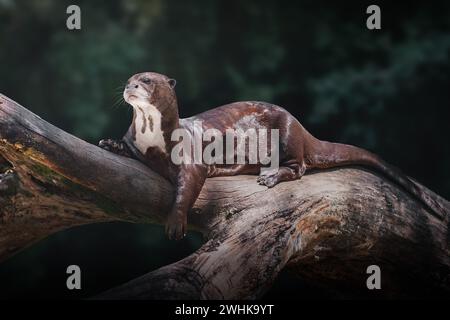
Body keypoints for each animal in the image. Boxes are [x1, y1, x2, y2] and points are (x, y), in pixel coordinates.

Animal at [99, 71, 446, 239]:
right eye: (130, 79)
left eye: (146, 80)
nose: (129, 86)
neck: (152, 138)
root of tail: (302, 127)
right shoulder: (136, 143)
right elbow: (126, 148)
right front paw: (109, 144)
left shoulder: (191, 159)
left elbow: (187, 188)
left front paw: (175, 223)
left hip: (287, 135)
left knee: (300, 166)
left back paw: (270, 175)